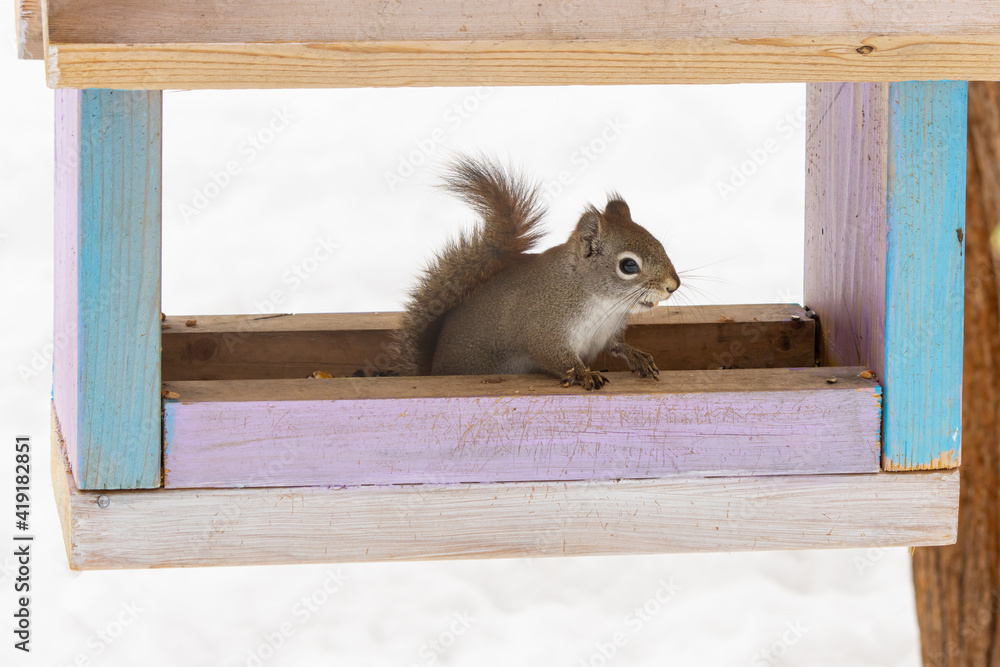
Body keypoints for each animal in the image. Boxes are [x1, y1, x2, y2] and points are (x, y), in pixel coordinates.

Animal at [392, 155, 680, 390]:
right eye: (628, 266)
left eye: (658, 243)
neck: (602, 302)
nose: (673, 285)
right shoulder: (543, 328)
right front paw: (583, 373)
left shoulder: (605, 332)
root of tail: (432, 370)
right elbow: (554, 356)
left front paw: (636, 355)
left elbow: (615, 345)